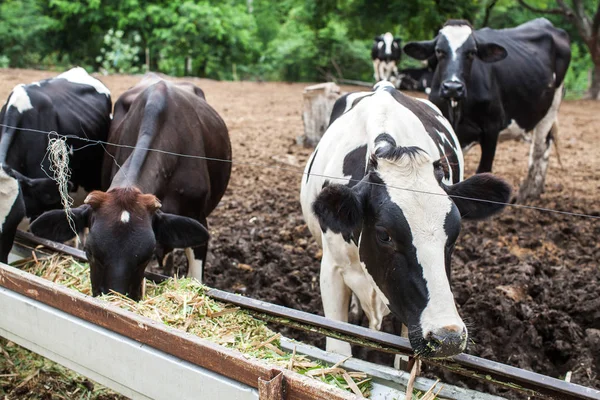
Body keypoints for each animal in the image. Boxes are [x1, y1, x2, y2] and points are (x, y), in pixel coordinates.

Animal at [404, 18, 572, 200]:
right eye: (439, 51)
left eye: (472, 53)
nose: (453, 88)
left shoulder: (492, 128)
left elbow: (483, 171)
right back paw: (535, 190)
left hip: (551, 109)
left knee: (539, 149)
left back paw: (526, 193)